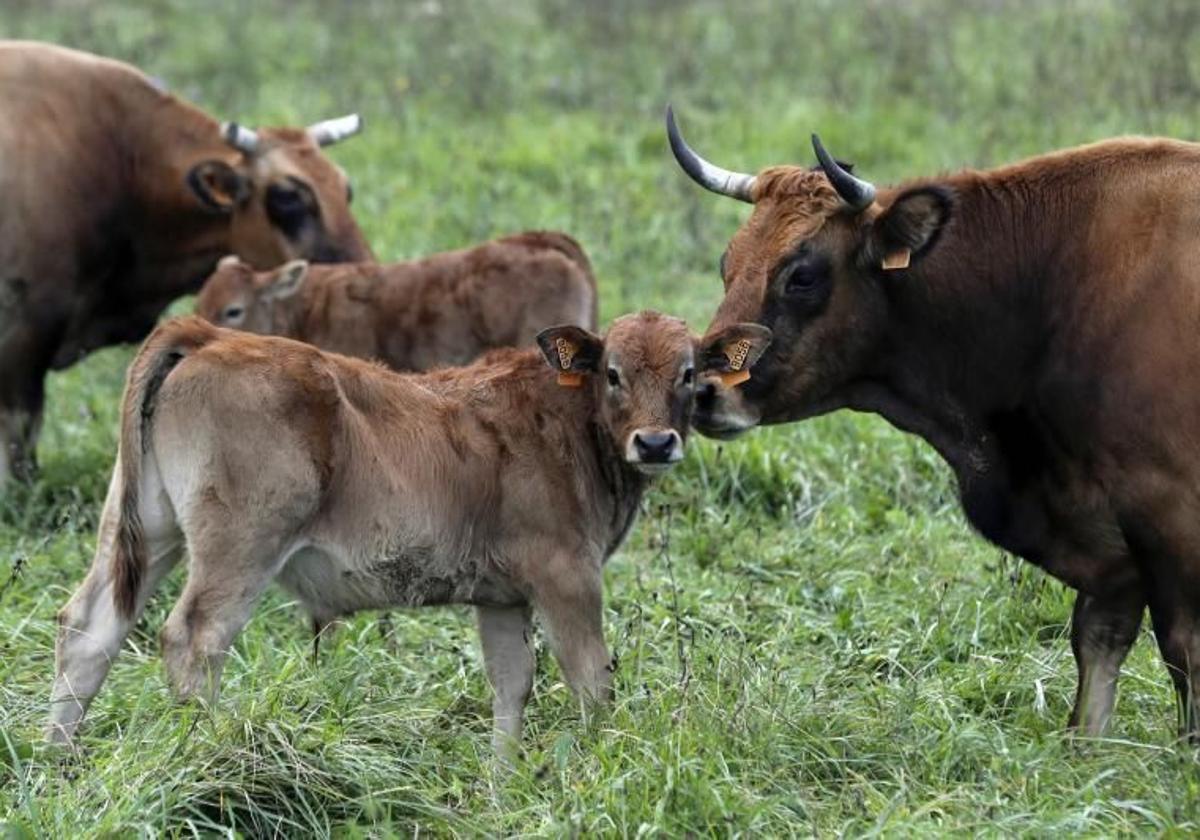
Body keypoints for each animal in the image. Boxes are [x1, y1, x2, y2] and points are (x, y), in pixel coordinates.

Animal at [46, 314, 768, 753]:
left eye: (688, 373)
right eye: (612, 373)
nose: (656, 442)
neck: (566, 421)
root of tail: (208, 335)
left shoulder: (502, 599)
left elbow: (512, 688)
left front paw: (503, 789)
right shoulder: (567, 578)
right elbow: (590, 680)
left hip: (148, 528)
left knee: (89, 628)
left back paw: (59, 761)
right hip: (238, 547)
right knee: (193, 640)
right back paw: (219, 748)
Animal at [667, 103, 1200, 734]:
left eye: (802, 275)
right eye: (728, 263)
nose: (702, 390)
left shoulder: (1167, 511)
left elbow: (1183, 654)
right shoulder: (1113, 549)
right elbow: (1096, 650)